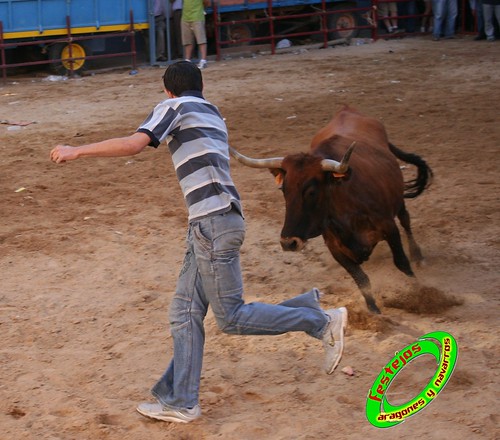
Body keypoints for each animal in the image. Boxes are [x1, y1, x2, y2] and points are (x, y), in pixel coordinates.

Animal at [229, 106, 432, 312]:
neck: (347, 211)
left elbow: (402, 263)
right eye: (283, 189)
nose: (288, 242)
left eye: (311, 191)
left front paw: (418, 292)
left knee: (405, 220)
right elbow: (361, 279)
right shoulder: (335, 247)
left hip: (398, 201)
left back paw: (418, 256)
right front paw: (373, 310)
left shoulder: (389, 227)